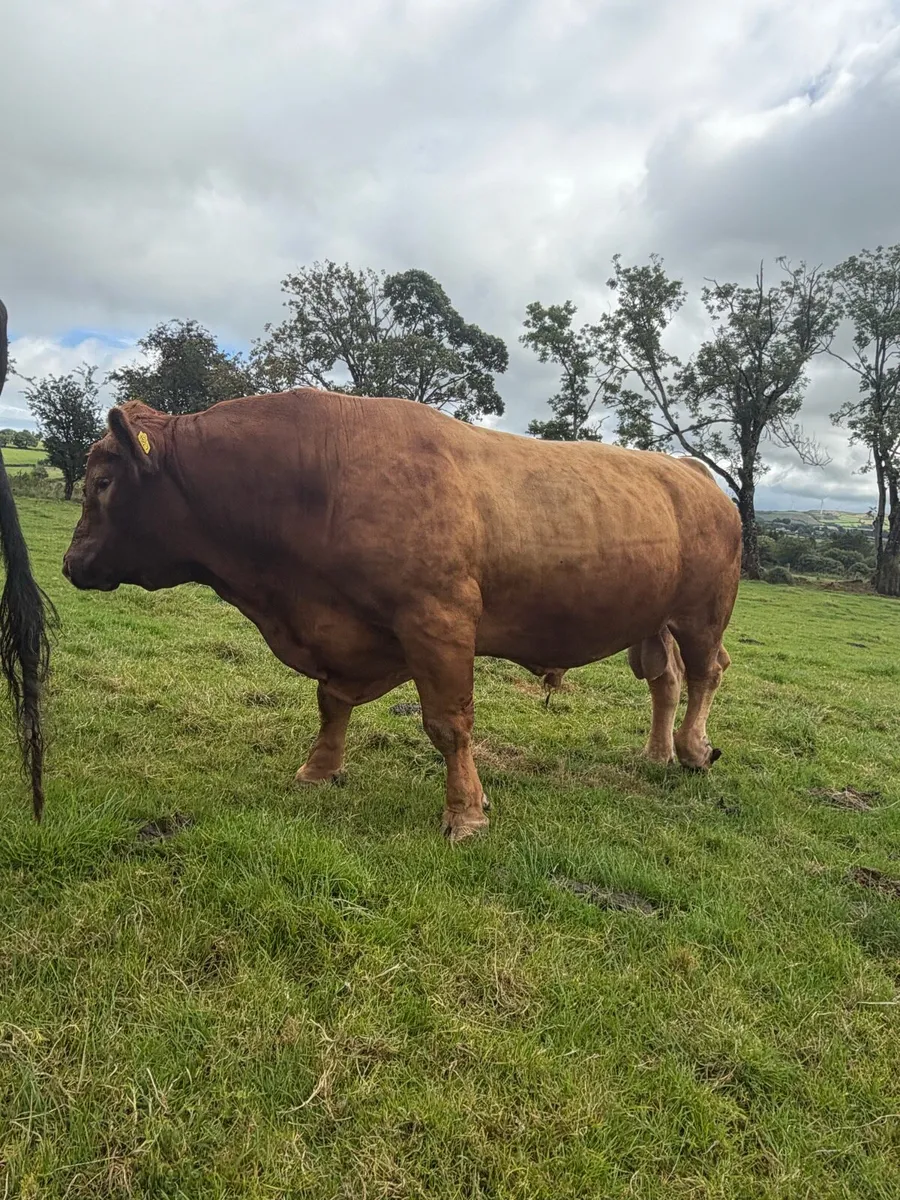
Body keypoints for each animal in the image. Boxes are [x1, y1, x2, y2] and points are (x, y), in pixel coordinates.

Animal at [63, 390, 742, 842]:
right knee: (664, 679)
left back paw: (693, 749)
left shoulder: (437, 620)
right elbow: (331, 702)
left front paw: (465, 815)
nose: (70, 563)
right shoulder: (352, 631)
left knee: (705, 673)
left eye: (103, 482)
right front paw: (319, 770)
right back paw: (655, 753)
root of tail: (686, 469)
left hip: (704, 611)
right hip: (652, 620)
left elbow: (448, 724)